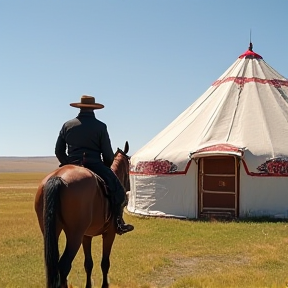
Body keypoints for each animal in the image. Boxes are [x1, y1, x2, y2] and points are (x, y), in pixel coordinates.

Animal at [34, 142, 131, 288]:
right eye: (129, 164)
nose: (129, 188)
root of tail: (57, 178)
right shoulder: (110, 233)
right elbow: (105, 263)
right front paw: (104, 285)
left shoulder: (86, 235)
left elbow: (88, 263)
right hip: (75, 235)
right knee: (64, 266)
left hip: (51, 231)